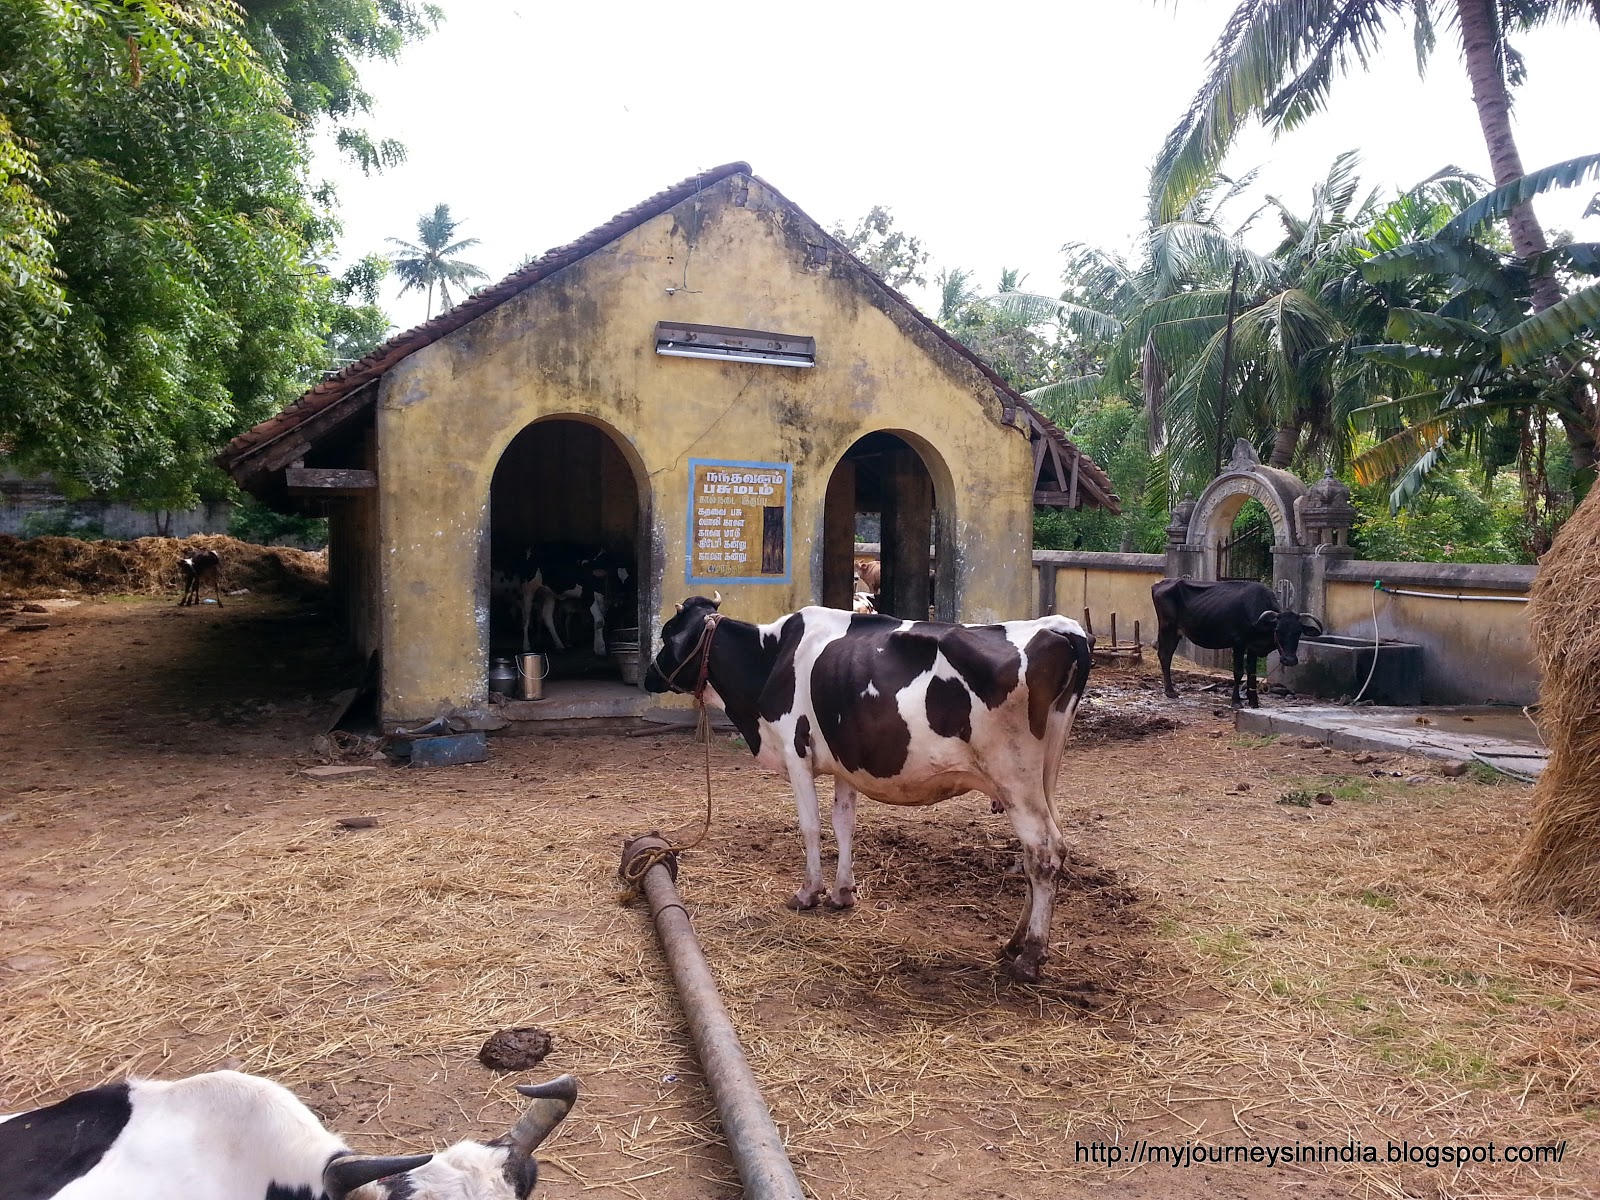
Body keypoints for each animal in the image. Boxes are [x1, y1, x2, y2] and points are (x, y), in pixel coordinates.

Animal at [643, 598, 1094, 979]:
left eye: (667, 634)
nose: (650, 677)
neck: (771, 658)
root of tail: (1059, 629)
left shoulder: (795, 750)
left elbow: (811, 826)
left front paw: (808, 893)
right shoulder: (847, 761)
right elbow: (844, 822)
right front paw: (842, 893)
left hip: (1013, 775)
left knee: (1044, 852)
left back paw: (1030, 956)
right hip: (1043, 776)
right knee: (1044, 853)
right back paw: (1014, 942)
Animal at [1152, 579, 1324, 710]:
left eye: (1298, 632)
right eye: (1278, 630)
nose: (1289, 660)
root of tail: (1160, 584)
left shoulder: (1253, 648)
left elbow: (1252, 674)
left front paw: (1254, 702)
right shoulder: (1238, 643)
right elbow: (1239, 672)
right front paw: (1236, 701)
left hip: (1175, 633)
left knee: (1166, 655)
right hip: (1167, 628)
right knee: (1164, 655)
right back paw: (1170, 691)